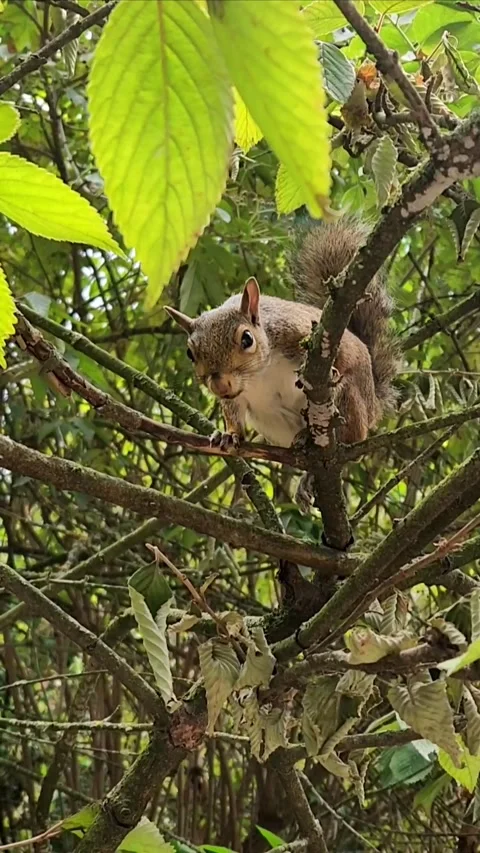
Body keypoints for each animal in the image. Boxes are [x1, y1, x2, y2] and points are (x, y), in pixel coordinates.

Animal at [165, 219, 399, 455]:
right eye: (190, 353)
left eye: (247, 339)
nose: (220, 386)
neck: (258, 373)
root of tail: (373, 407)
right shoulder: (235, 397)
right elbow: (232, 412)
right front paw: (229, 434)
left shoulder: (299, 331)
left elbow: (337, 353)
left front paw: (332, 372)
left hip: (351, 401)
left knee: (352, 432)